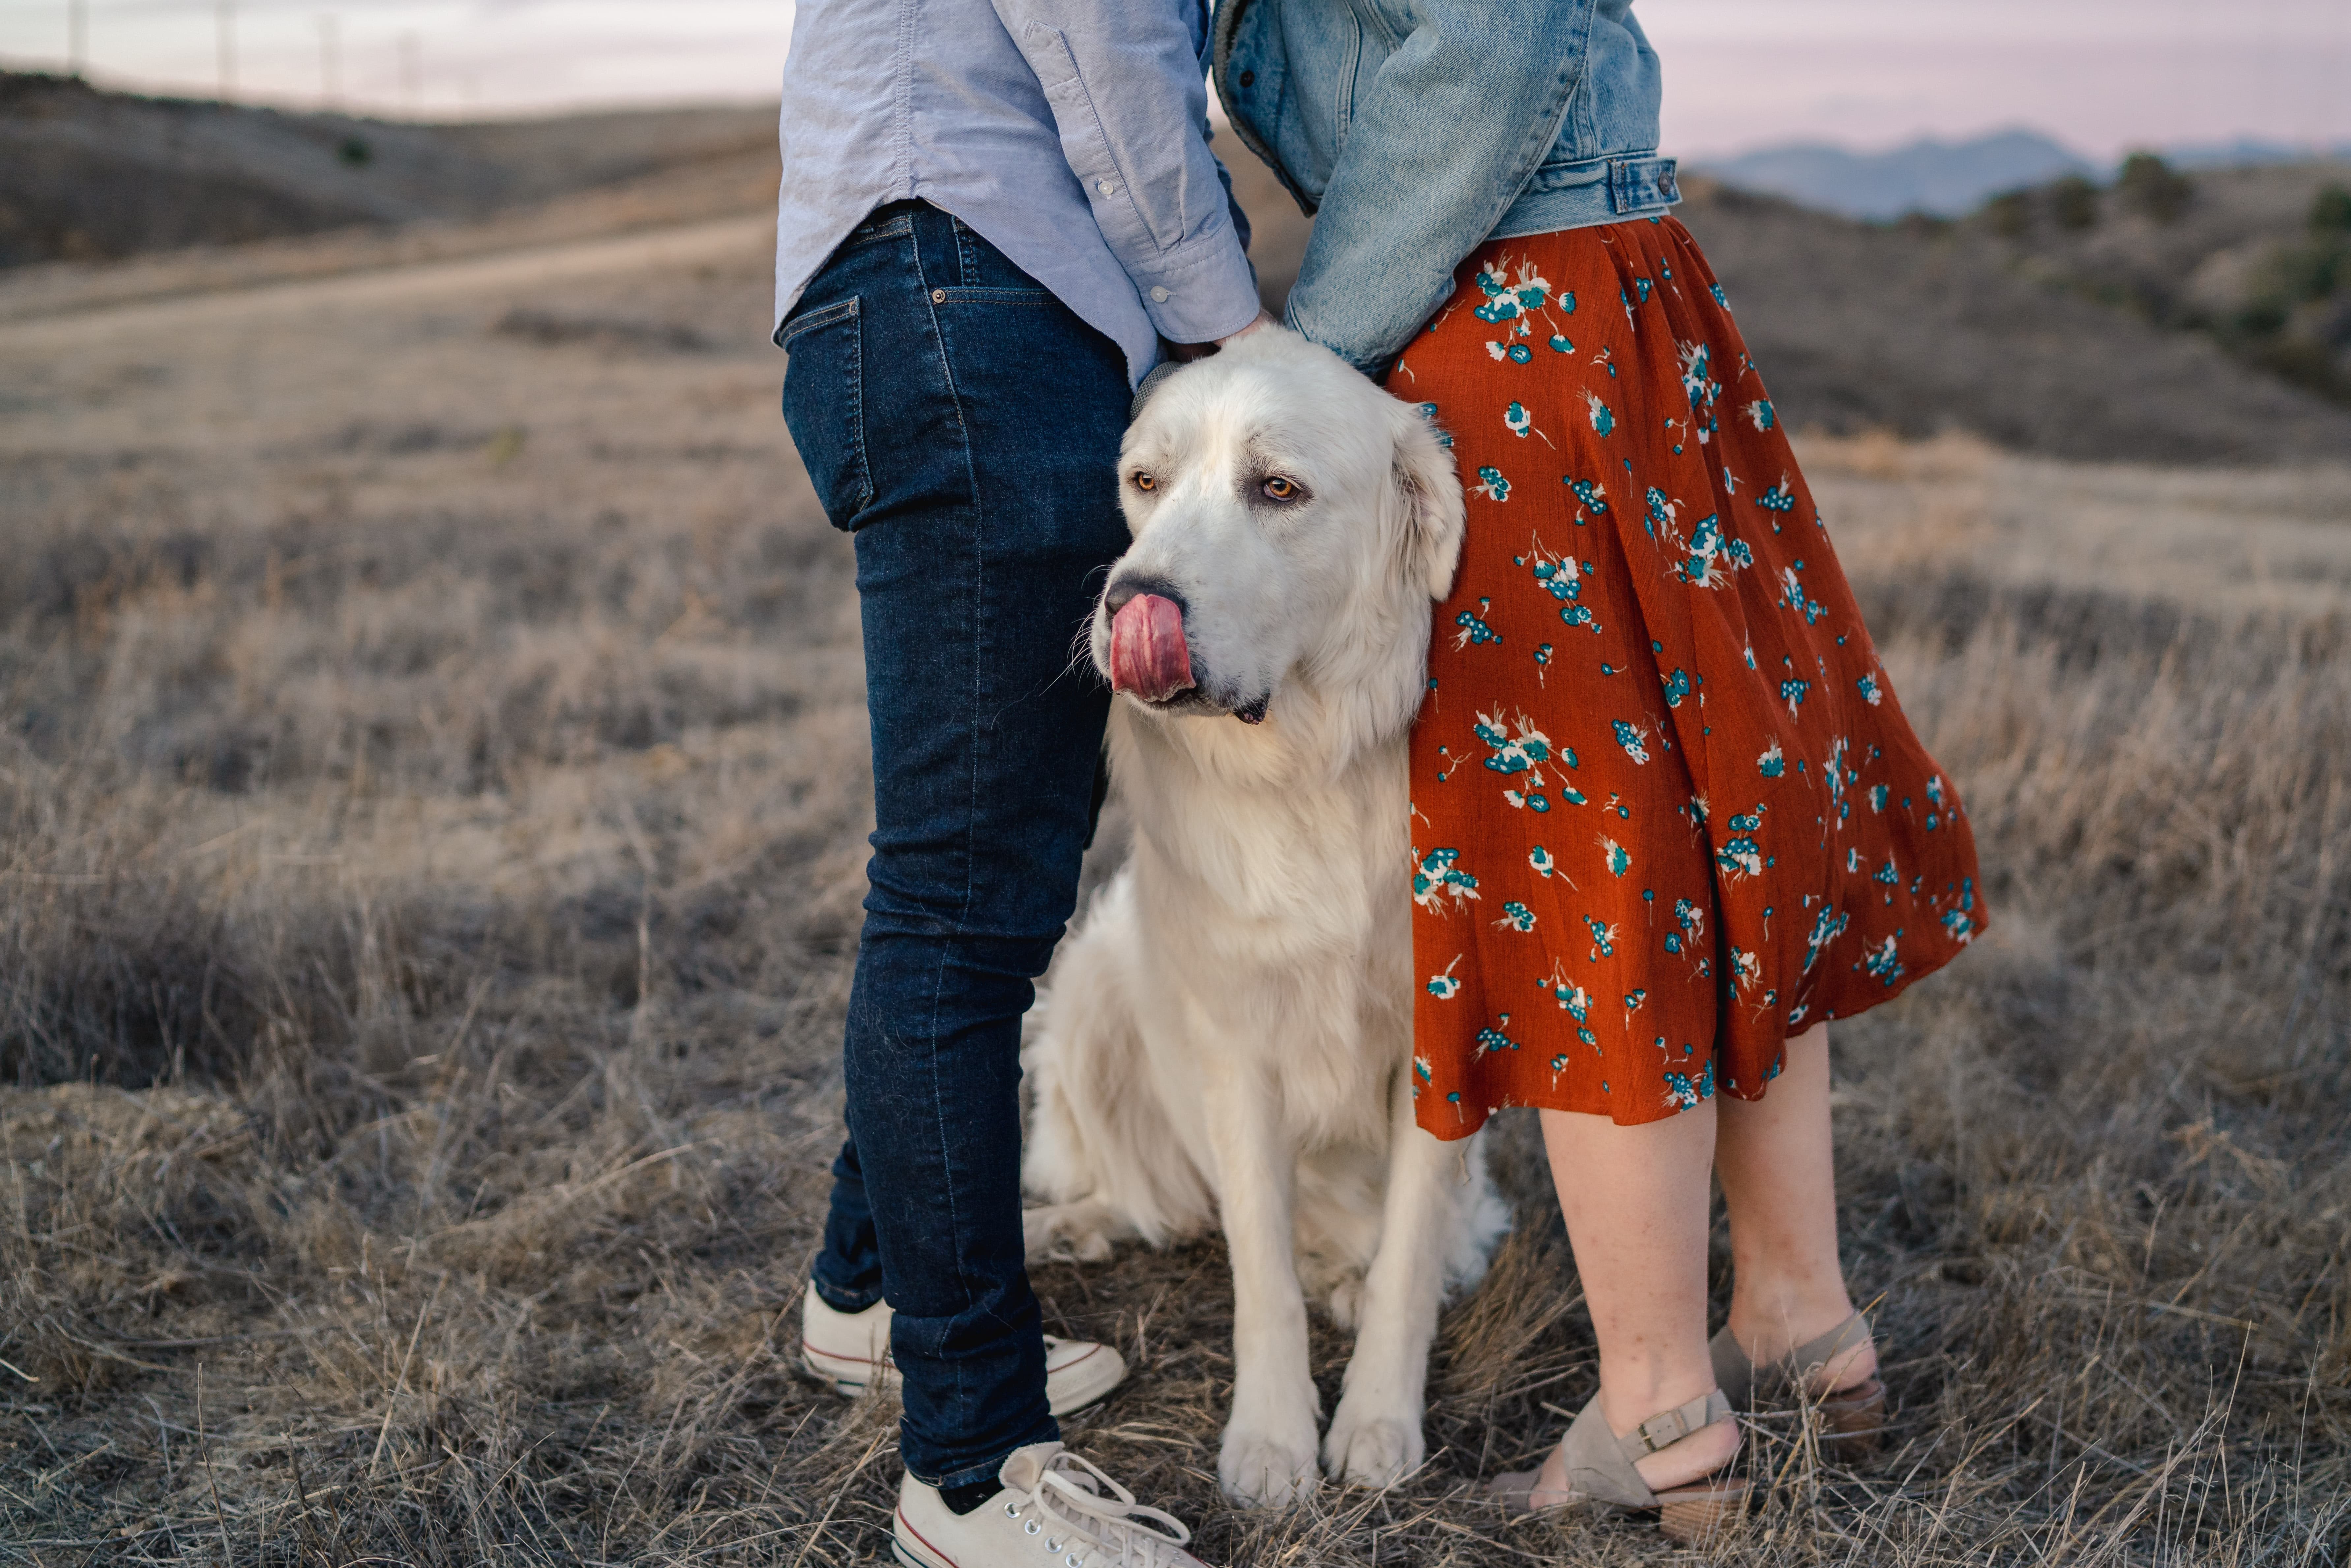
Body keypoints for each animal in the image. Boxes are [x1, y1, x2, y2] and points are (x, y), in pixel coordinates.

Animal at [1025, 329, 1505, 1504]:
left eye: (1276, 488)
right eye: (1143, 483)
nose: (1128, 601)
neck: (1309, 769)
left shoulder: (1441, 1043)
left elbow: (1409, 1254)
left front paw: (1376, 1421)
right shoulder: (1235, 1050)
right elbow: (1260, 1266)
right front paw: (1272, 1439)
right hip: (1090, 986)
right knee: (1160, 1198)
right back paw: (1070, 1224)